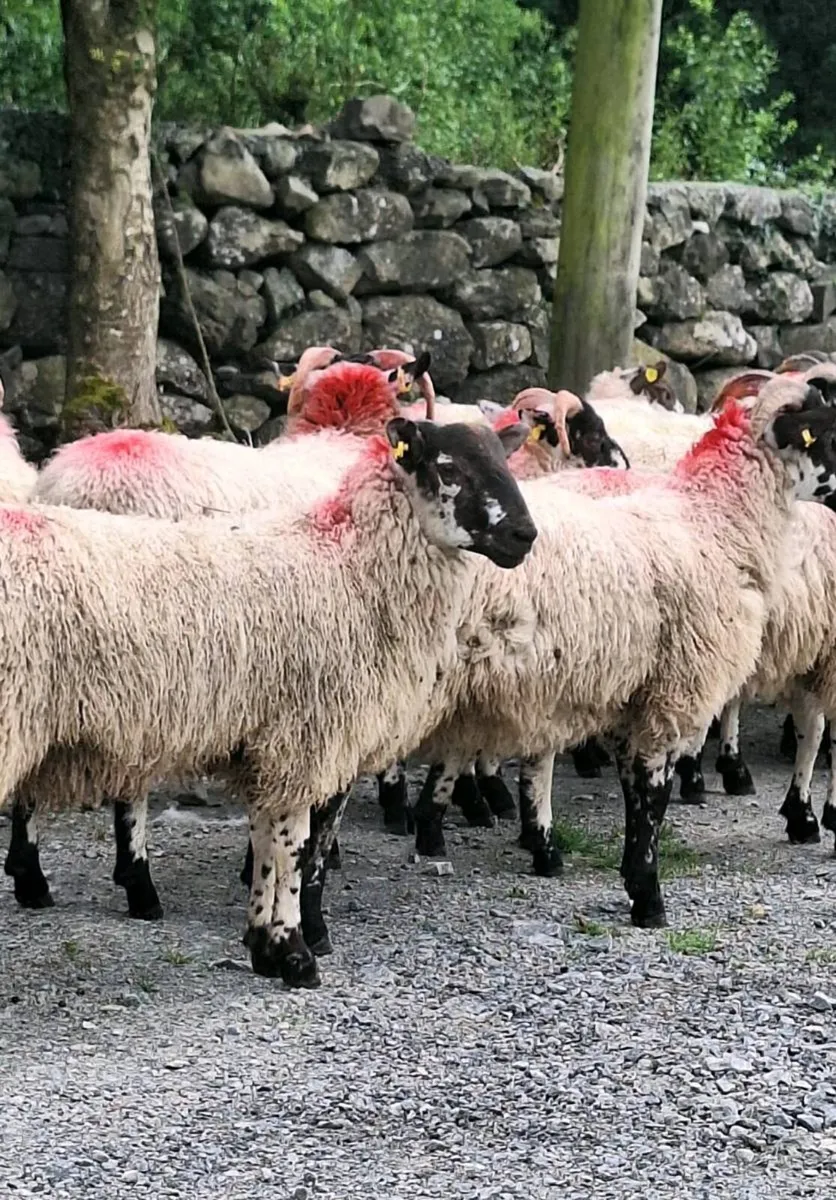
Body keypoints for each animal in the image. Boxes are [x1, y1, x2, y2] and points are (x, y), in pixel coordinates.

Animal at [0, 416, 537, 985]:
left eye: (503, 460)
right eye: (449, 468)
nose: (524, 536)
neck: (351, 567)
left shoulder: (273, 745)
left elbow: (269, 842)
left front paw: (265, 941)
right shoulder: (309, 737)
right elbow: (297, 848)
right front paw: (296, 948)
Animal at [394, 379, 836, 929]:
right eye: (825, 435)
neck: (712, 519)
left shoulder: (638, 694)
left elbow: (635, 788)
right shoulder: (676, 691)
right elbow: (653, 795)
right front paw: (649, 898)